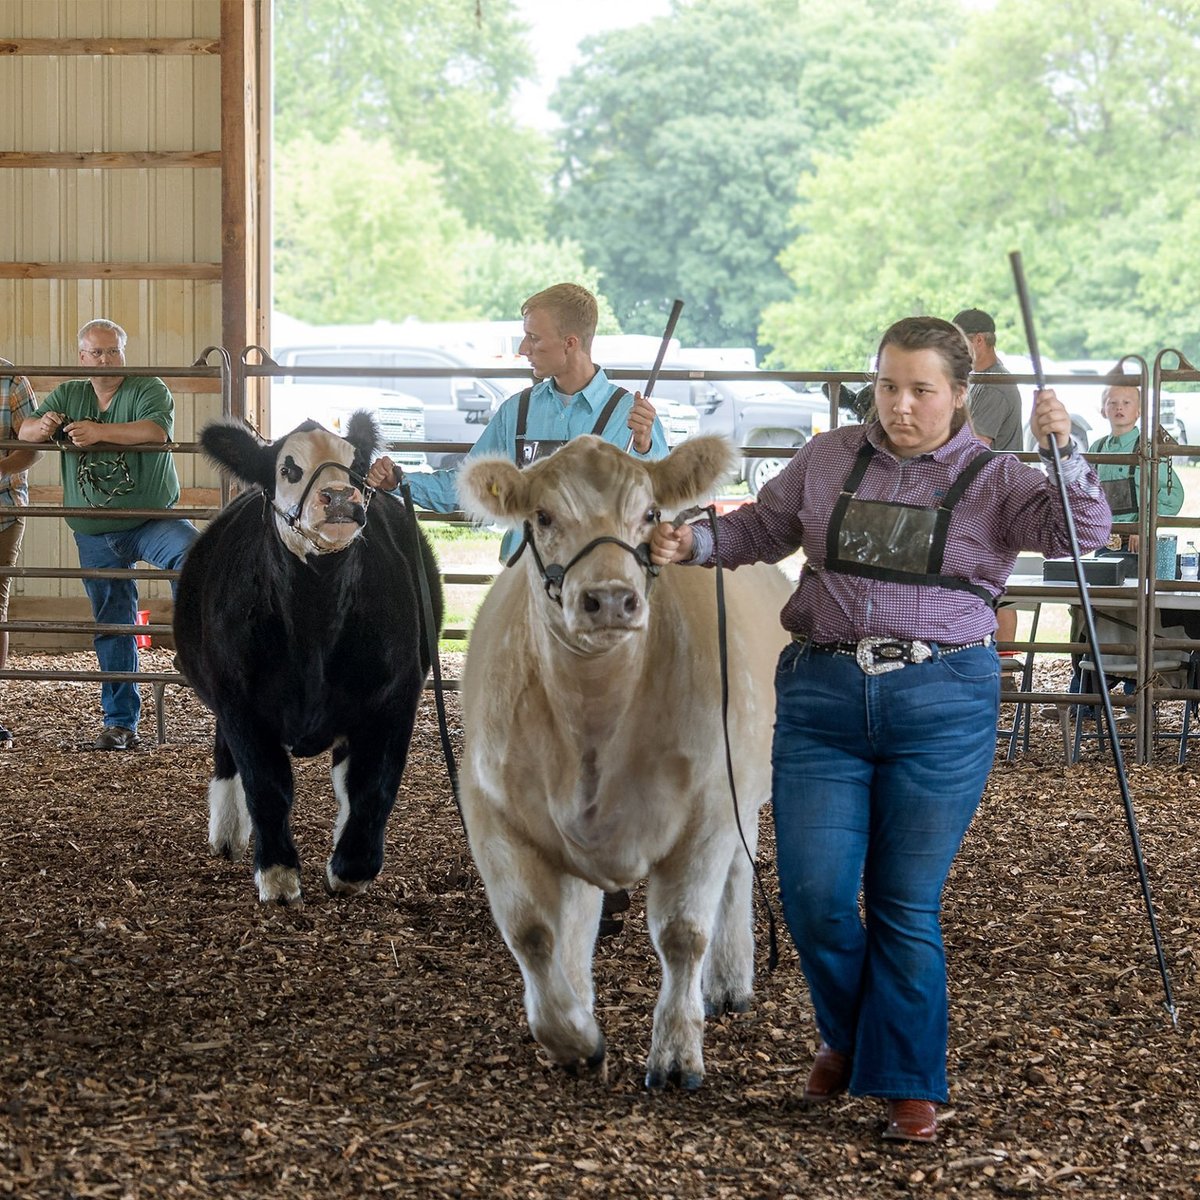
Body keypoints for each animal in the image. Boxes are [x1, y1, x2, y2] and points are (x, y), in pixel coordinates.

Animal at [175, 412, 444, 902]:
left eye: (356, 467)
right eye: (289, 469)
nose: (339, 497)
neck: (315, 614)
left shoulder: (395, 697)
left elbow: (373, 785)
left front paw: (352, 867)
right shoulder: (239, 701)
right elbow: (266, 786)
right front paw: (277, 875)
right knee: (227, 758)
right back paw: (227, 835)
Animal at [456, 434, 787, 1089]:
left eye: (651, 513)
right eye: (543, 516)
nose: (609, 598)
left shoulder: (709, 810)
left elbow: (683, 935)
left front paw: (677, 1055)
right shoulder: (494, 814)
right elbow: (534, 935)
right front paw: (575, 1036)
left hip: (745, 788)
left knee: (739, 874)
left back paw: (729, 983)